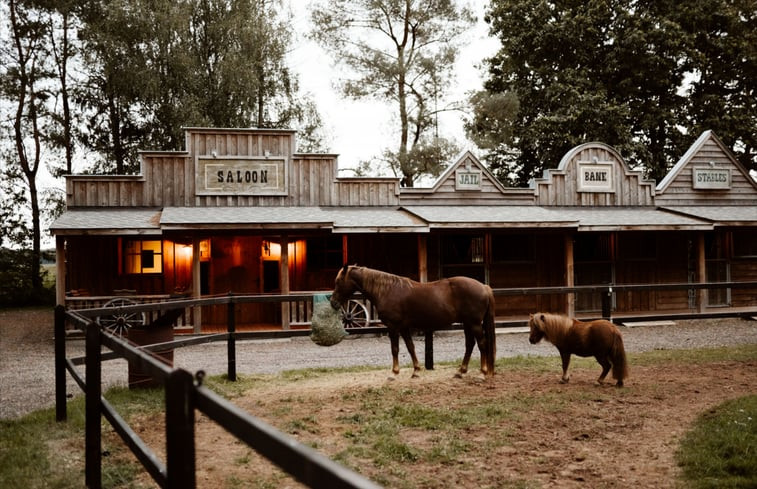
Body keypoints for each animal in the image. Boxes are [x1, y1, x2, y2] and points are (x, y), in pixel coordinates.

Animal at [330, 264, 496, 380]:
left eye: (338, 281)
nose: (333, 302)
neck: (387, 291)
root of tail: (484, 287)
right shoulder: (403, 327)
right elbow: (410, 347)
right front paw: (416, 371)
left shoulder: (393, 327)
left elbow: (395, 349)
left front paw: (394, 373)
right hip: (467, 324)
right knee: (470, 345)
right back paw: (460, 372)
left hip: (474, 324)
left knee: (482, 344)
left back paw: (482, 373)